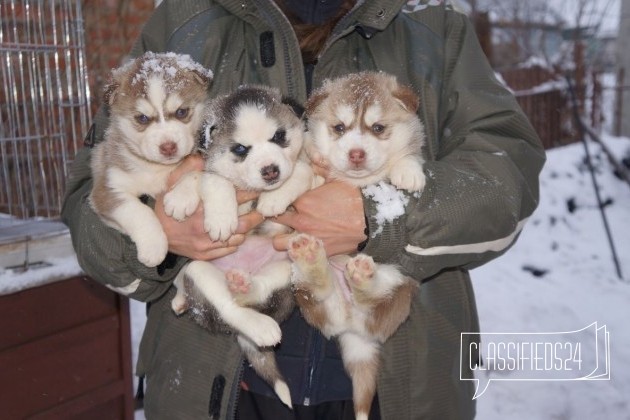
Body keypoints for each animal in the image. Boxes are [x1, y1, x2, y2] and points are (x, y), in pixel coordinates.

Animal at [165, 84, 316, 406]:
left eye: (279, 136)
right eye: (240, 149)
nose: (270, 171)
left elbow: (302, 170)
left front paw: (276, 197)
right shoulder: (210, 168)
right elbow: (207, 177)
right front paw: (205, 209)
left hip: (287, 265)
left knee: (255, 292)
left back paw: (244, 288)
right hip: (200, 270)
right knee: (228, 308)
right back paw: (255, 321)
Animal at [288, 72, 428, 420]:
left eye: (377, 128)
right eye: (339, 128)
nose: (356, 154)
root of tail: (353, 329)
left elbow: (409, 155)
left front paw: (409, 172)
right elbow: (305, 153)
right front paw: (312, 156)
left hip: (399, 283)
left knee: (373, 298)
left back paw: (361, 275)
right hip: (306, 296)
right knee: (319, 290)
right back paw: (312, 258)